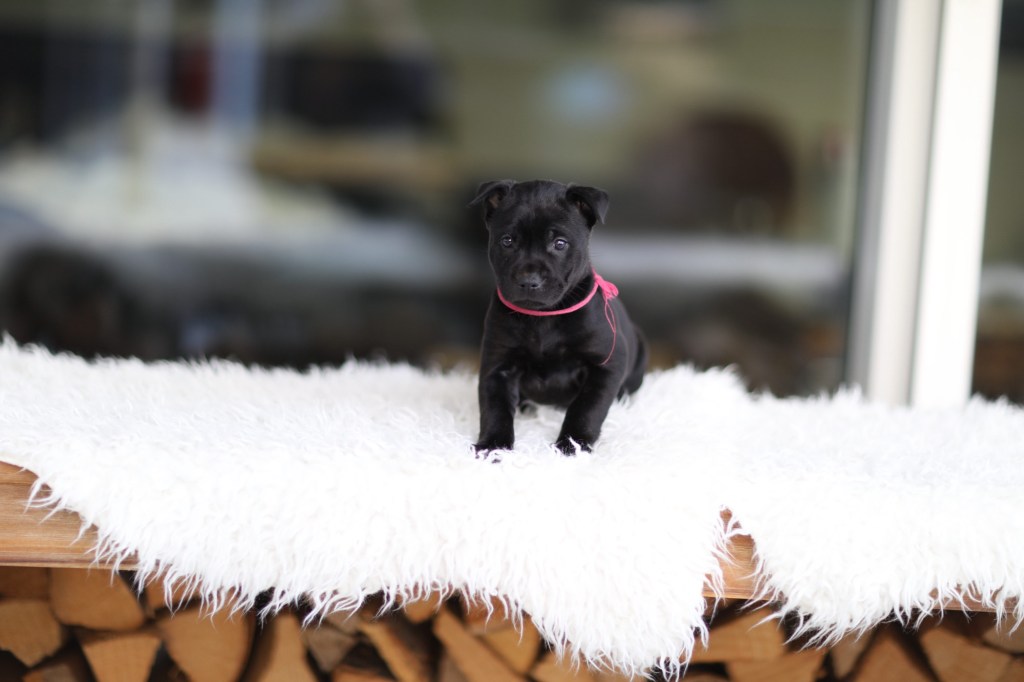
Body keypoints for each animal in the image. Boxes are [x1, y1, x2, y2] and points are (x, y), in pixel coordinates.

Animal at [470, 179, 648, 456]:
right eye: (507, 241)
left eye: (560, 243)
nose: (528, 281)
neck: (544, 318)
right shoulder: (497, 366)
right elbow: (494, 409)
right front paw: (493, 446)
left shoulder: (605, 365)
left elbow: (586, 409)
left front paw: (572, 445)